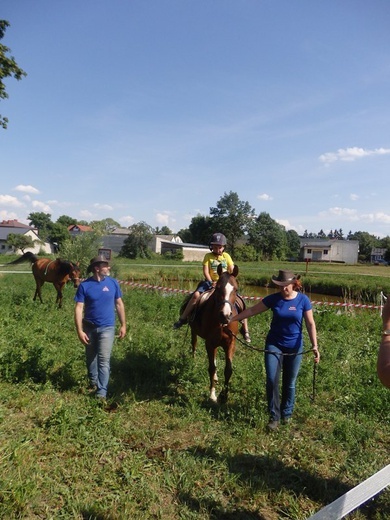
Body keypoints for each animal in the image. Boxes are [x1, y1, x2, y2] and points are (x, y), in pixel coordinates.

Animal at [184, 264, 239, 402]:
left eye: (235, 289)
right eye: (218, 288)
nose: (225, 315)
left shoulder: (230, 343)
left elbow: (228, 369)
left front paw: (224, 396)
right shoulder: (209, 343)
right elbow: (211, 368)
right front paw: (212, 395)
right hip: (194, 331)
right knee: (194, 344)